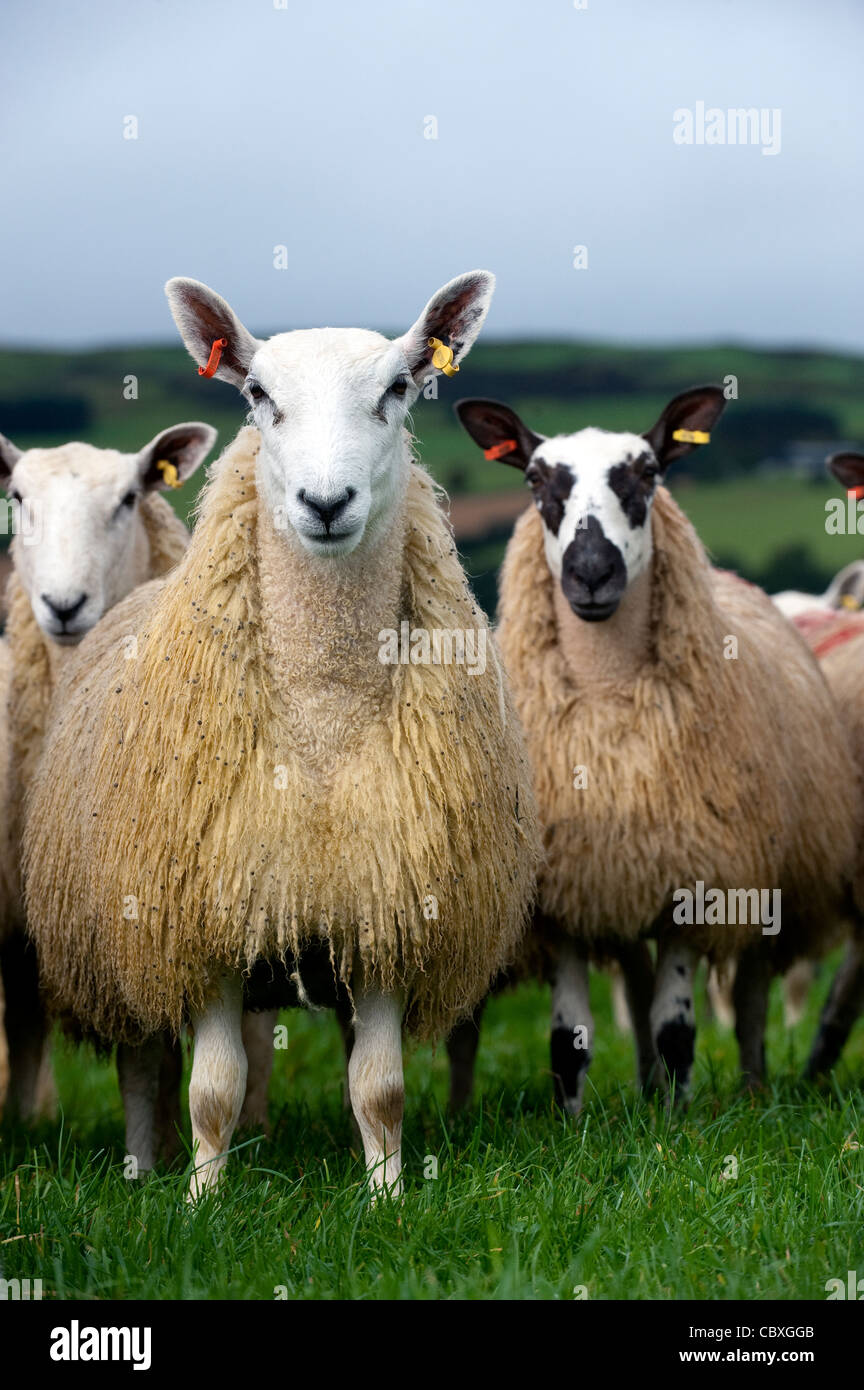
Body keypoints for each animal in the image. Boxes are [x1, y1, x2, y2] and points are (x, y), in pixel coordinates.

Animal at [22, 271, 541, 1195]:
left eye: (398, 389)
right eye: (260, 396)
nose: (326, 504)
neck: (322, 720)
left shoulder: (383, 907)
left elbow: (379, 1087)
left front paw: (387, 1195)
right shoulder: (203, 922)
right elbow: (212, 1089)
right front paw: (202, 1200)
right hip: (127, 938)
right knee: (143, 1064)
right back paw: (141, 1169)